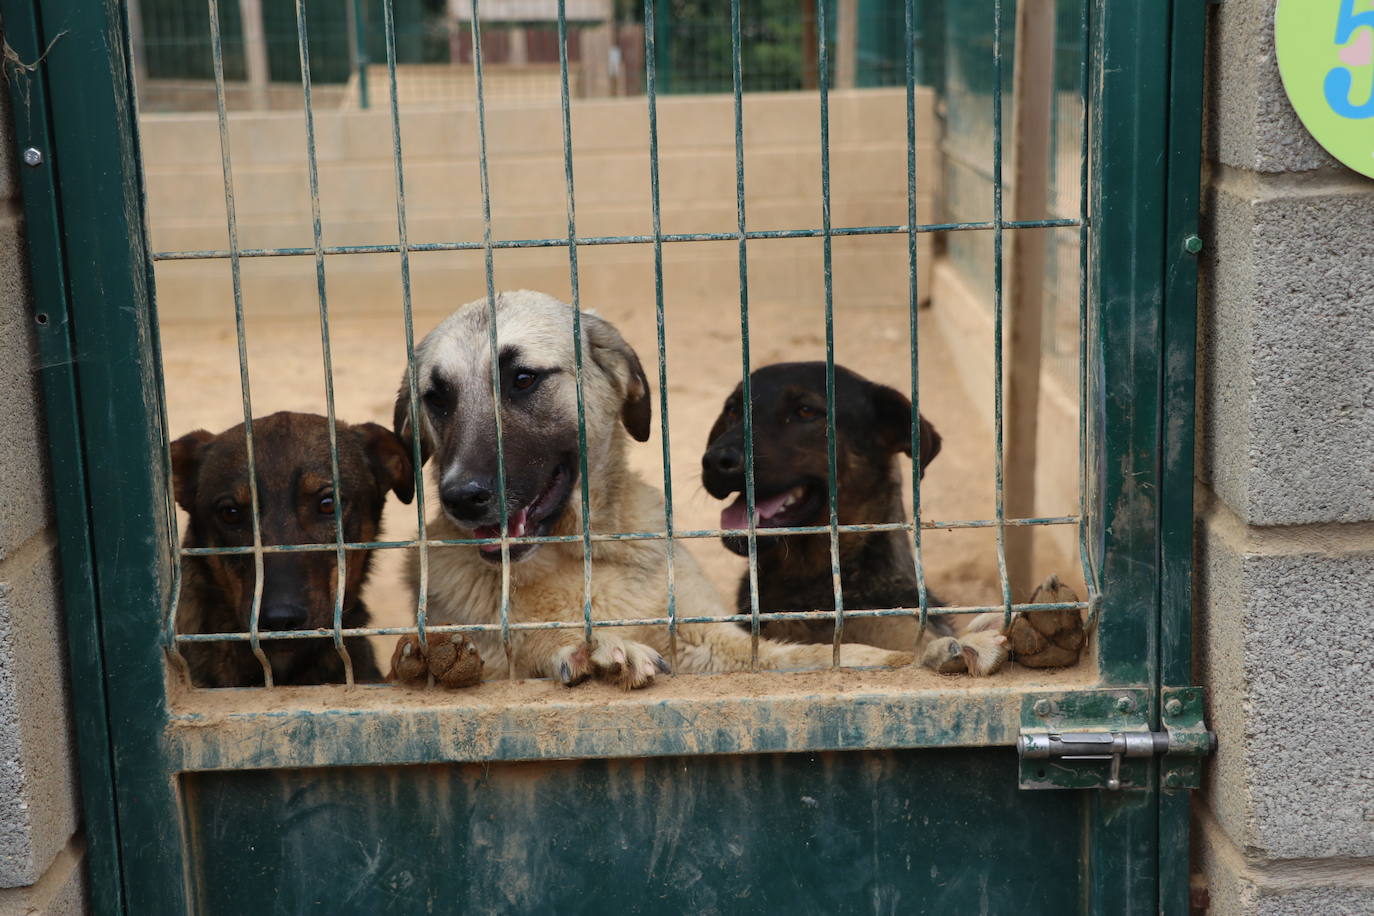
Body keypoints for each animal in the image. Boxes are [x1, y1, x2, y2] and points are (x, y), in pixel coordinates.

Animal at [392, 292, 917, 686]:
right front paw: (598, 648)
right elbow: (531, 641)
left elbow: (803, 656)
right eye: (437, 398)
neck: (572, 558)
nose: (462, 496)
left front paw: (909, 656)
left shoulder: (707, 641)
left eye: (522, 379)